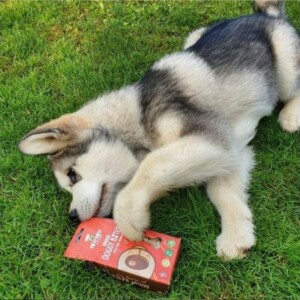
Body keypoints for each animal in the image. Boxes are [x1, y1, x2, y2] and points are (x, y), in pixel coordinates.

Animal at [19, 0, 298, 258]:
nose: (73, 216)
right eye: (68, 185)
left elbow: (152, 165)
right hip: (193, 37)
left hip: (286, 63)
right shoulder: (229, 150)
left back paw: (291, 115)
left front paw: (130, 219)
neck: (138, 114)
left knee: (292, 89)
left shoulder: (209, 138)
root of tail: (266, 15)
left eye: (72, 175)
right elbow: (222, 191)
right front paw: (236, 235)